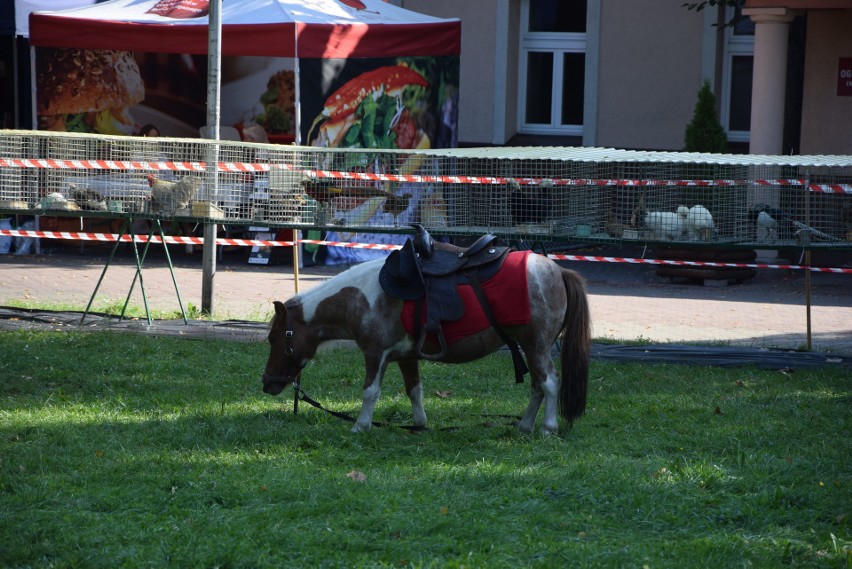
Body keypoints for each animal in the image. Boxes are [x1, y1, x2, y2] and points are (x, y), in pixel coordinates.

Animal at [262, 250, 592, 434]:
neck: (362, 297)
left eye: (274, 338)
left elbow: (370, 392)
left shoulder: (375, 354)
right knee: (537, 385)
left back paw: (548, 428)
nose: (267, 383)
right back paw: (524, 426)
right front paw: (419, 424)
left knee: (549, 382)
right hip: (531, 347)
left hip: (536, 345)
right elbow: (414, 390)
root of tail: (558, 270)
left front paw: (360, 426)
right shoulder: (405, 357)